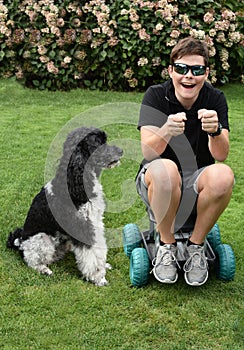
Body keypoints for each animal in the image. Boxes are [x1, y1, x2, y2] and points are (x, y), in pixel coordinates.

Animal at [6, 127, 123, 286]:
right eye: (98, 143)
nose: (121, 150)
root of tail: (20, 242)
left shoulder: (95, 222)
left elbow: (98, 247)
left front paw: (103, 266)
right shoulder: (83, 226)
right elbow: (92, 253)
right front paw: (98, 277)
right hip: (42, 238)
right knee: (31, 260)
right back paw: (43, 269)